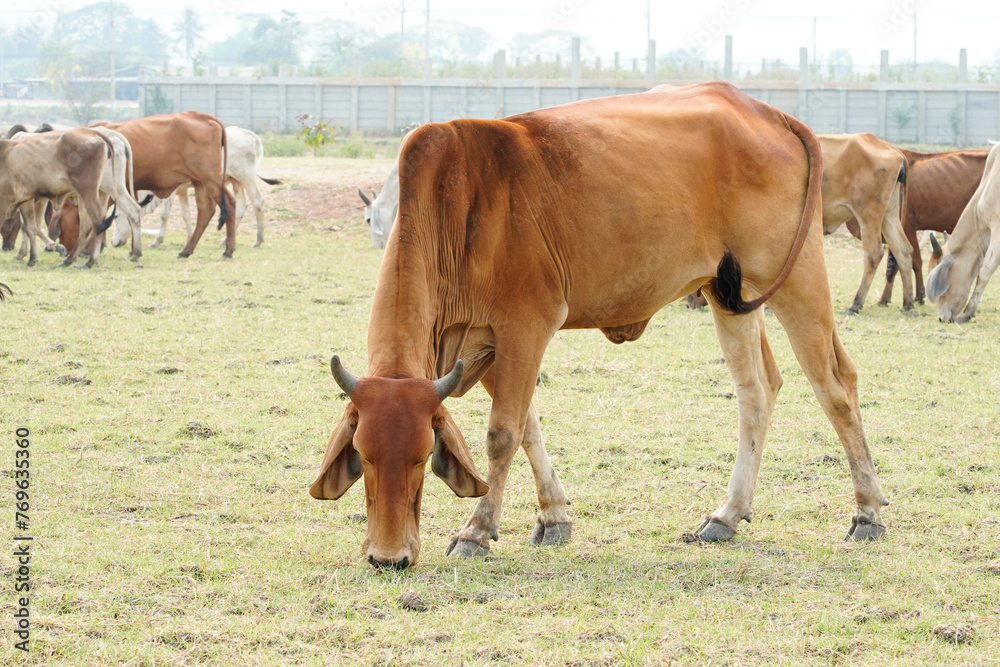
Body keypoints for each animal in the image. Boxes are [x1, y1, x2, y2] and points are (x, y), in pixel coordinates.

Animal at [0, 128, 116, 267]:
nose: (6, 247)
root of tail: (91, 132)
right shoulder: (25, 200)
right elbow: (30, 227)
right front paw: (33, 258)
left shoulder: (6, 201)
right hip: (84, 195)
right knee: (86, 226)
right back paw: (69, 259)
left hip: (87, 190)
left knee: (98, 220)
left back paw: (91, 261)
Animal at [59, 111, 235, 258]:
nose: (65, 249)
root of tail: (201, 115)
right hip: (200, 182)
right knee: (206, 211)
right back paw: (187, 250)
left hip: (211, 178)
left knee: (230, 204)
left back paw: (228, 249)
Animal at [136, 126, 280, 249]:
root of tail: (247, 133)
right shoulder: (182, 190)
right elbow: (186, 215)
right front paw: (190, 238)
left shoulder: (170, 192)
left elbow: (164, 215)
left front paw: (157, 241)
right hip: (237, 181)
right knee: (241, 207)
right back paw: (225, 241)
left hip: (246, 176)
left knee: (258, 202)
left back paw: (258, 240)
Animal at [309, 82, 889, 570]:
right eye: (363, 455)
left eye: (421, 458)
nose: (388, 558)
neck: (457, 205)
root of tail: (771, 113)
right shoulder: (484, 345)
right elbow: (527, 426)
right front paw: (554, 516)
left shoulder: (526, 326)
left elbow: (502, 433)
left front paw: (476, 530)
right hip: (731, 294)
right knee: (758, 390)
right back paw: (726, 515)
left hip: (795, 281)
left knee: (836, 385)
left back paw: (866, 511)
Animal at [817, 133, 913, 314]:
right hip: (889, 214)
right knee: (903, 250)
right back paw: (908, 304)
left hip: (869, 216)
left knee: (874, 255)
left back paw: (855, 304)